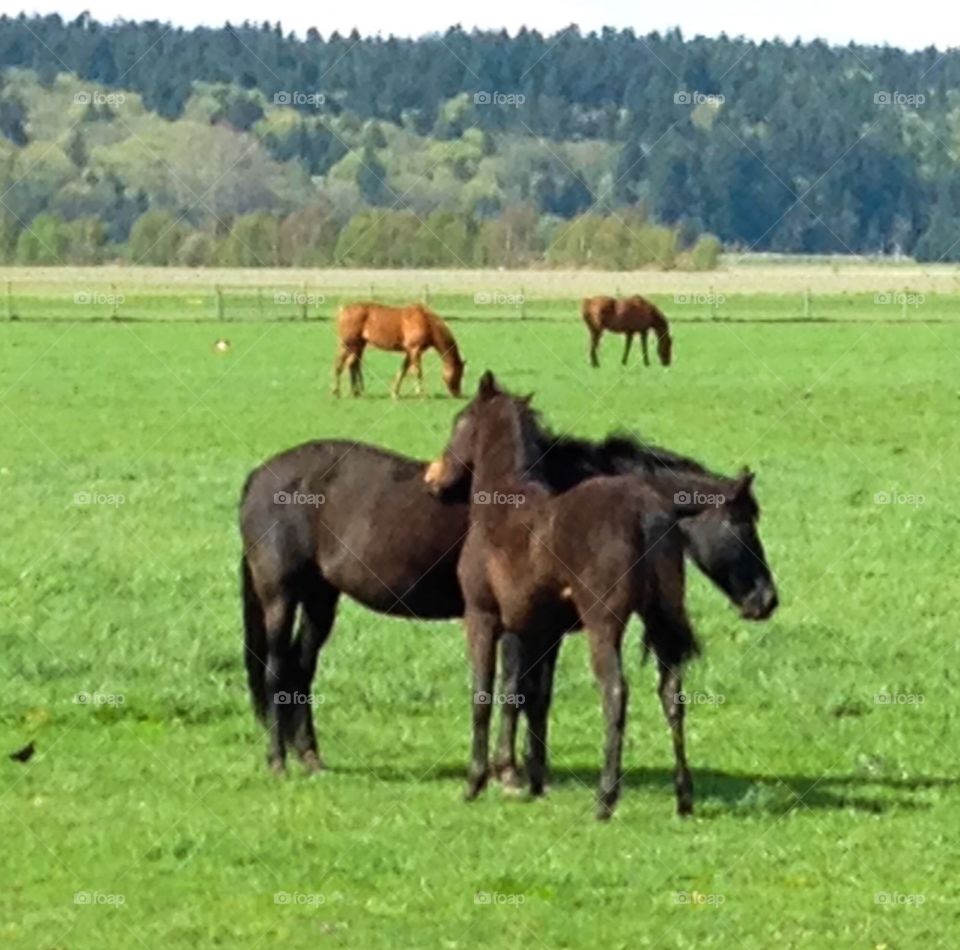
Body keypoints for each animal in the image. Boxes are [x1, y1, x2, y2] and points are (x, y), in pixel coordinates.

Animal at [238, 413, 778, 791]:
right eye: (740, 524)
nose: (767, 600)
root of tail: (260, 476)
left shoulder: (547, 630)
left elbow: (537, 695)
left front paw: (535, 770)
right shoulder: (520, 625)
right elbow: (516, 691)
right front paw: (508, 772)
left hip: (320, 598)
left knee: (300, 670)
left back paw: (309, 756)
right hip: (281, 595)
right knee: (276, 669)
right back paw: (277, 760)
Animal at [332, 302, 465, 398]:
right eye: (458, 373)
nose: (457, 394)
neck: (426, 322)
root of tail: (343, 310)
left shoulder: (409, 351)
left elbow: (403, 371)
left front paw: (395, 393)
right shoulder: (415, 350)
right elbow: (418, 372)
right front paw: (421, 393)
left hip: (358, 345)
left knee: (353, 365)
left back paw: (356, 392)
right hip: (348, 345)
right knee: (339, 365)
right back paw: (336, 391)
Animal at [424, 371, 777, 819]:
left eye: (459, 421)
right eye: (744, 524)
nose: (434, 478)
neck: (506, 505)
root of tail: (647, 513)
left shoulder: (484, 617)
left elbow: (486, 694)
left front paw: (477, 781)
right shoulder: (538, 628)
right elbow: (533, 696)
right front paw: (532, 779)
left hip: (603, 623)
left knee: (615, 693)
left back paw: (606, 798)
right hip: (659, 620)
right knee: (672, 695)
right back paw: (683, 797)